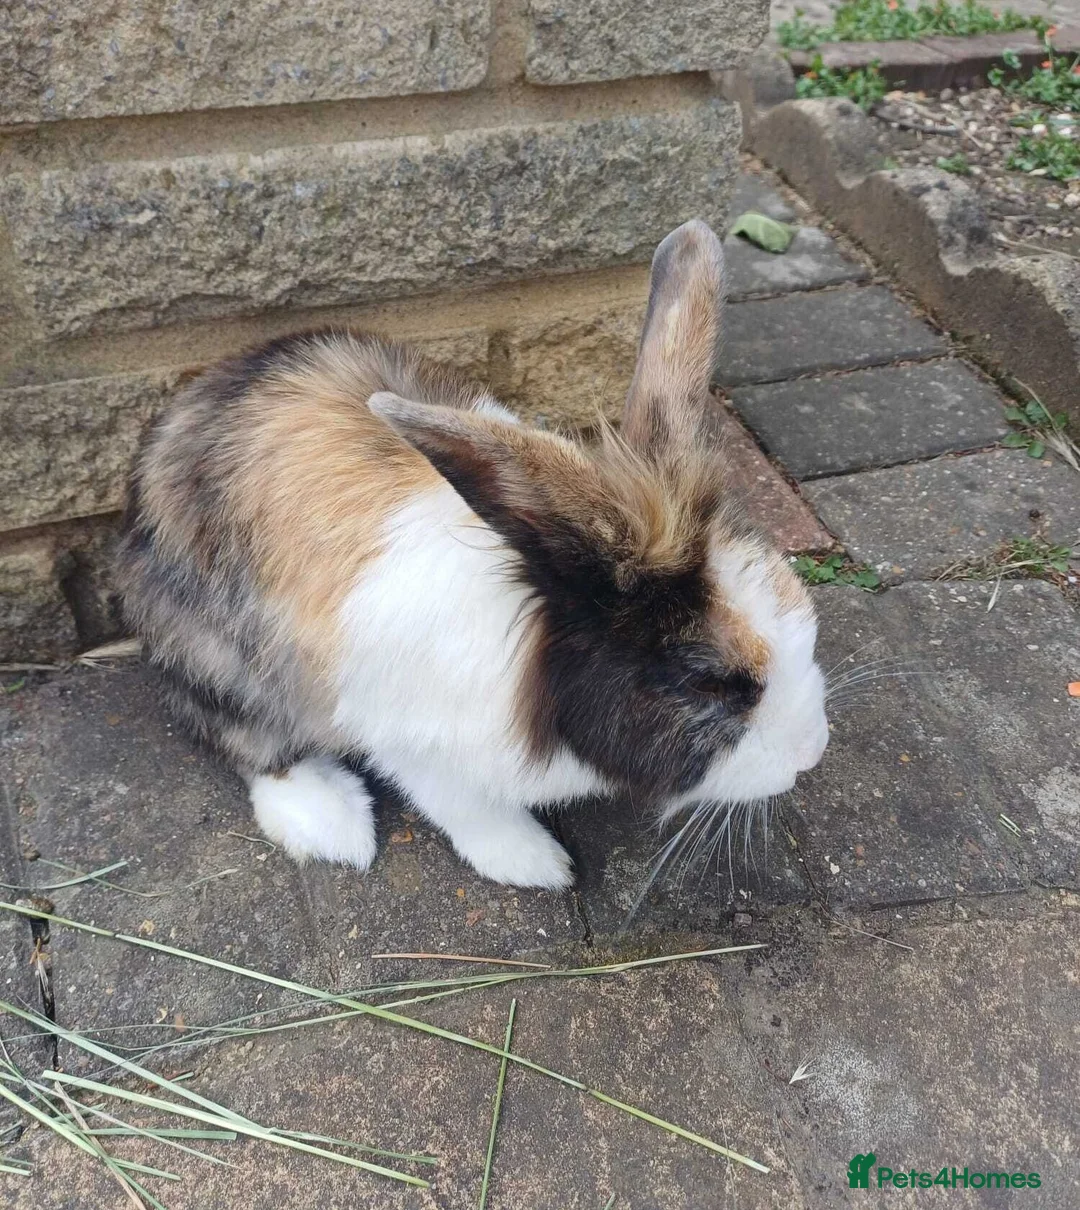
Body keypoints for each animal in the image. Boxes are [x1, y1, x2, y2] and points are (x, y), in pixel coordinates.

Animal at [116, 219, 829, 890]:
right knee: (244, 739)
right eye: (708, 683)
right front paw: (535, 863)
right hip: (216, 656)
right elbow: (464, 805)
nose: (811, 754)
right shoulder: (406, 736)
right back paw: (333, 825)